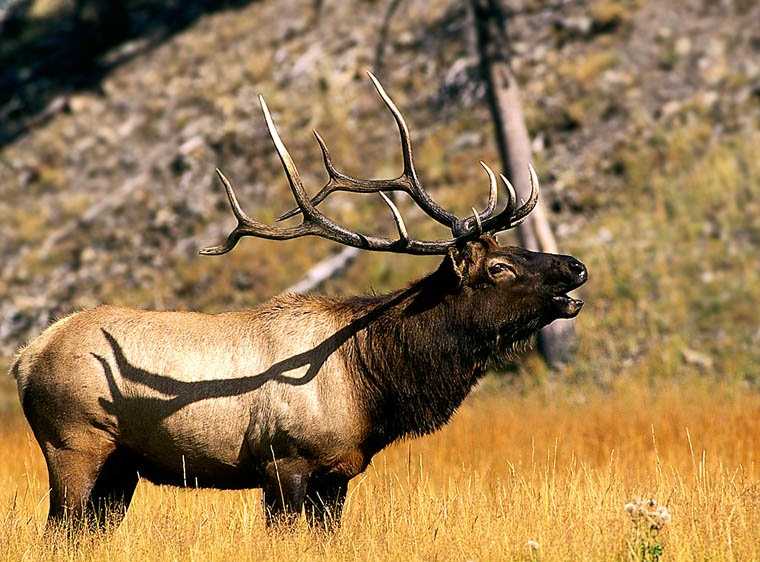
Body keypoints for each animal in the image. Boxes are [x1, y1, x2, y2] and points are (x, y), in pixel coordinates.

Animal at [11, 73, 587, 534]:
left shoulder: (337, 474)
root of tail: (25, 357)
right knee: (58, 530)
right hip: (73, 443)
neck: (371, 384)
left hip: (121, 465)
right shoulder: (284, 461)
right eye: (500, 267)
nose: (576, 266)